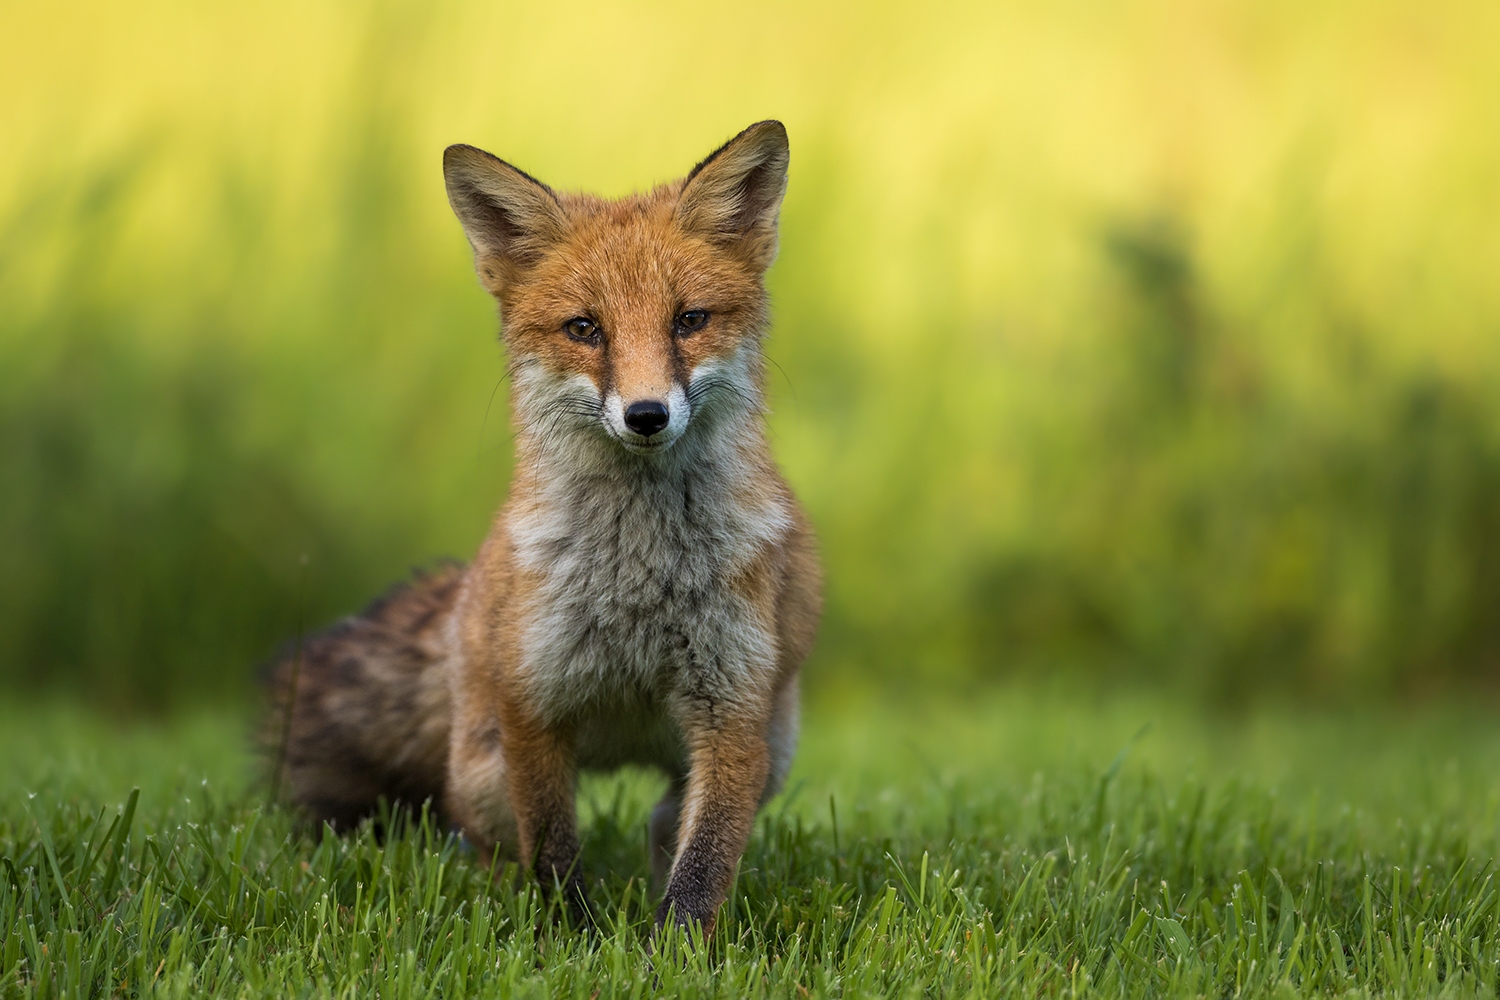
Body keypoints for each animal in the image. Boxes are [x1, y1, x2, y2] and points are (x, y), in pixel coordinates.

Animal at [274, 121, 828, 935]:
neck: (639, 584)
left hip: (775, 745)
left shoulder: (731, 709)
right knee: (482, 841)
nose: (646, 415)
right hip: (481, 776)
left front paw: (674, 949)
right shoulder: (534, 705)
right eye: (585, 329)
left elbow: (703, 866)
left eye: (688, 321)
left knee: (663, 822)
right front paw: (574, 940)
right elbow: (555, 854)